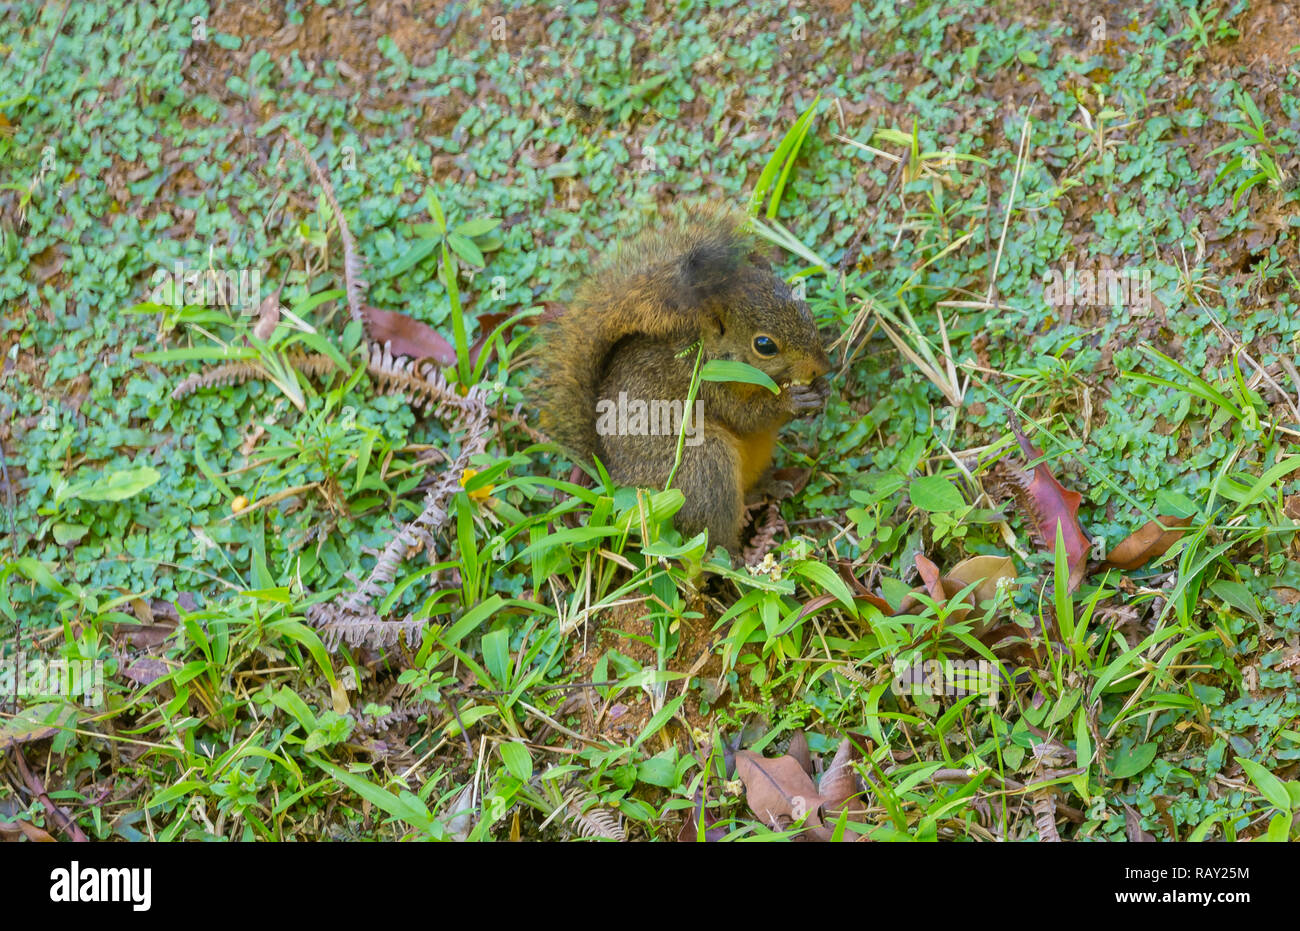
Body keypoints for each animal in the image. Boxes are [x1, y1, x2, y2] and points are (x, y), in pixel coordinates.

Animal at [538, 205, 832, 553]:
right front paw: (791, 400)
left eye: (806, 309)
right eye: (764, 345)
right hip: (701, 465)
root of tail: (612, 476)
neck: (710, 352)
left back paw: (768, 489)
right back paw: (741, 555)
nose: (822, 367)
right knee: (710, 540)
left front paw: (822, 389)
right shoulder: (706, 384)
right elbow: (746, 417)